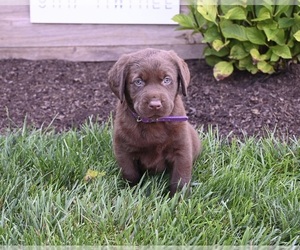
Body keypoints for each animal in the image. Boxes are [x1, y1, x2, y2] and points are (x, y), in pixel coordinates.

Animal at [108, 47, 202, 195]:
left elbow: (180, 177)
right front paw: (132, 192)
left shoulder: (181, 149)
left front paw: (178, 198)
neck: (154, 123)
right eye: (138, 82)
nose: (155, 104)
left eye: (167, 80)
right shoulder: (123, 150)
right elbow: (130, 173)